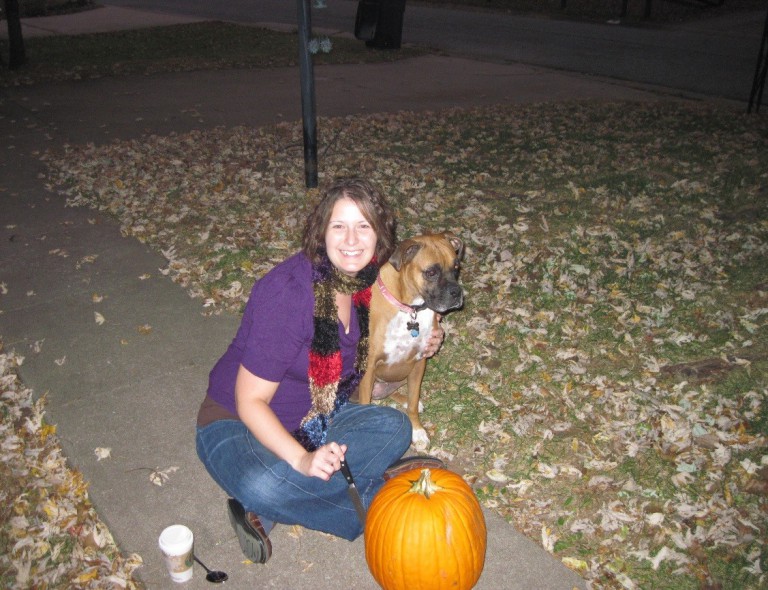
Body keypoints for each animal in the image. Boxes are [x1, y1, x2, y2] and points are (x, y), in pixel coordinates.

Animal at [358, 232, 464, 450]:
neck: (410, 308)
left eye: (456, 267)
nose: (457, 292)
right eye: (431, 272)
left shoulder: (418, 363)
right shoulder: (369, 367)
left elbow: (414, 402)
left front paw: (417, 430)